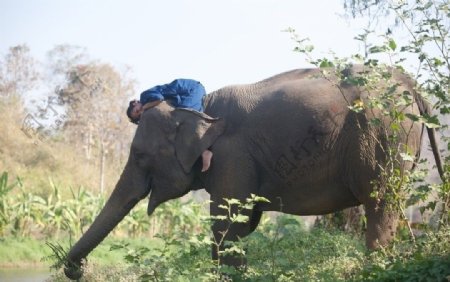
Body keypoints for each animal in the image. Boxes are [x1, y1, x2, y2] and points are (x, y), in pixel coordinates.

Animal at [63, 65, 442, 280]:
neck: (202, 109)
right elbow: (243, 224)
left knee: (379, 204)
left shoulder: (232, 156)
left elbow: (228, 223)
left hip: (382, 136)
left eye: (140, 156)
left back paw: (374, 267)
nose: (75, 270)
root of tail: (412, 86)